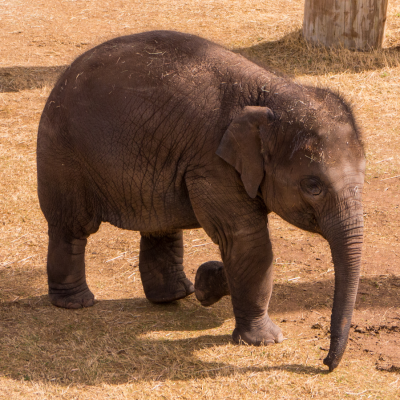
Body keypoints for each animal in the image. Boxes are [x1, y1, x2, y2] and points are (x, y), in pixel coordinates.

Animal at [37, 30, 366, 372]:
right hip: (62, 154)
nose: (325, 362)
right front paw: (265, 340)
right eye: (312, 185)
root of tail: (64, 76)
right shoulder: (213, 166)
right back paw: (76, 303)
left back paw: (176, 295)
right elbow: (247, 240)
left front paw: (207, 282)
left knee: (160, 224)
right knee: (72, 227)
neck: (272, 92)